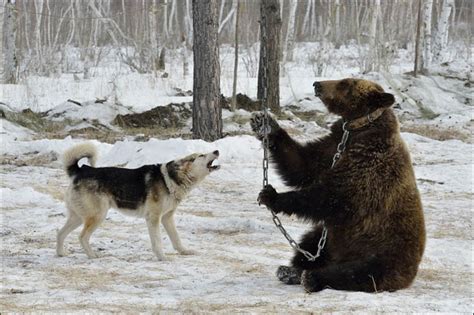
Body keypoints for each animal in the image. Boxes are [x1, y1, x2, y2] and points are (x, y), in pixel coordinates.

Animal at [56, 144, 219, 262]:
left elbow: (176, 239)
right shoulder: (153, 218)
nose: (217, 150)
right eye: (201, 155)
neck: (172, 179)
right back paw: (92, 256)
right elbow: (157, 242)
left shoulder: (167, 218)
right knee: (82, 237)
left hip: (78, 217)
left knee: (60, 233)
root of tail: (81, 171)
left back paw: (60, 253)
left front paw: (185, 251)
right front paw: (163, 258)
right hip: (97, 216)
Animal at [252, 78, 426, 294]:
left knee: (360, 272)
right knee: (311, 244)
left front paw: (271, 196)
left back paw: (311, 277)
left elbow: (330, 196)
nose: (317, 84)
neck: (357, 128)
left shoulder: (368, 163)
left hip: (384, 250)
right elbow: (303, 164)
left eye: (345, 83)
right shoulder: (332, 146)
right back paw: (291, 270)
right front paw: (265, 124)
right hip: (329, 239)